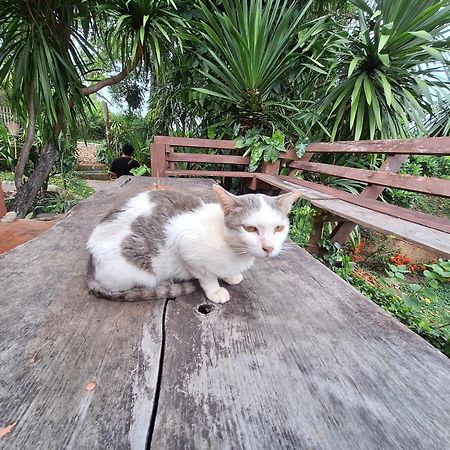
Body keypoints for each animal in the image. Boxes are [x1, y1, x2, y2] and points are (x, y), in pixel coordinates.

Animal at [86, 185, 300, 304]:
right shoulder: (185, 246)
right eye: (250, 228)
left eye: (279, 228)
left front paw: (231, 276)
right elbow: (207, 276)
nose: (269, 248)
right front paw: (216, 290)